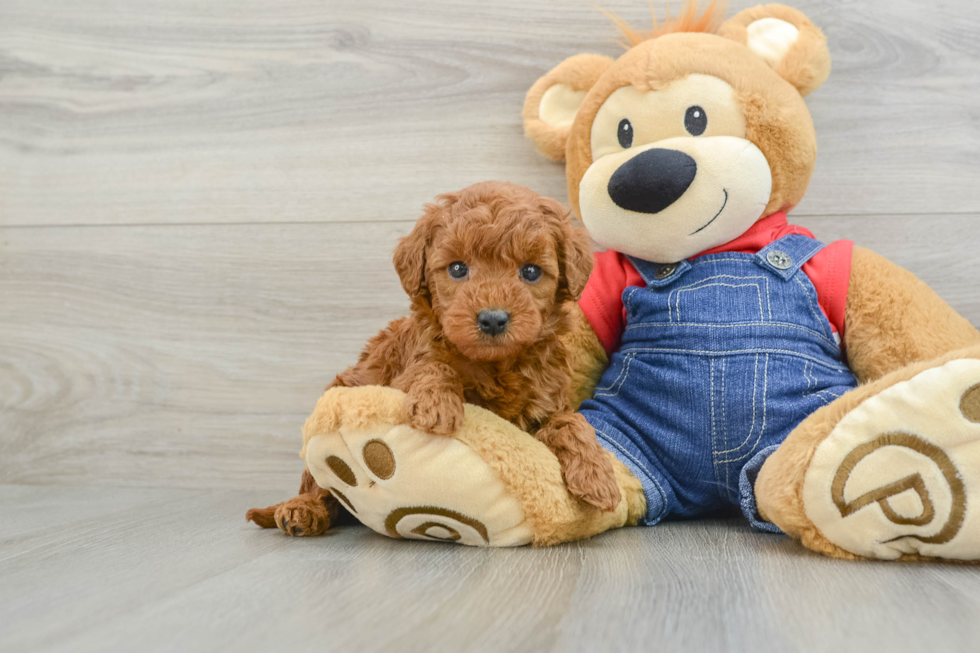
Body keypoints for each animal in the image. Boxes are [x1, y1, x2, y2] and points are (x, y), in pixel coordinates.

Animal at [251, 180, 620, 536]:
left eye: (531, 272)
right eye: (457, 268)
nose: (493, 319)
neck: (495, 365)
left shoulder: (546, 402)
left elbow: (571, 422)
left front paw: (597, 474)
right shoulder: (403, 372)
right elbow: (434, 366)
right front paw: (436, 404)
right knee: (320, 485)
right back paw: (303, 509)